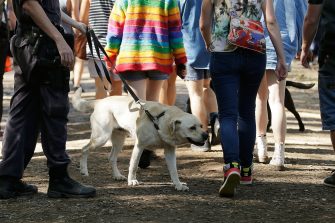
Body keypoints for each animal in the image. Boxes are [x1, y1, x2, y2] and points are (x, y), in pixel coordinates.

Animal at [71, 88, 207, 190]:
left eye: (201, 126)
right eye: (192, 128)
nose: (206, 135)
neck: (160, 121)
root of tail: (100, 101)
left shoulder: (170, 151)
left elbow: (174, 171)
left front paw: (178, 185)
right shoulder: (139, 146)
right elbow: (134, 165)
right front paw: (132, 181)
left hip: (119, 141)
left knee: (111, 158)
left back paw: (117, 175)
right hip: (101, 137)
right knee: (84, 149)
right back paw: (84, 170)